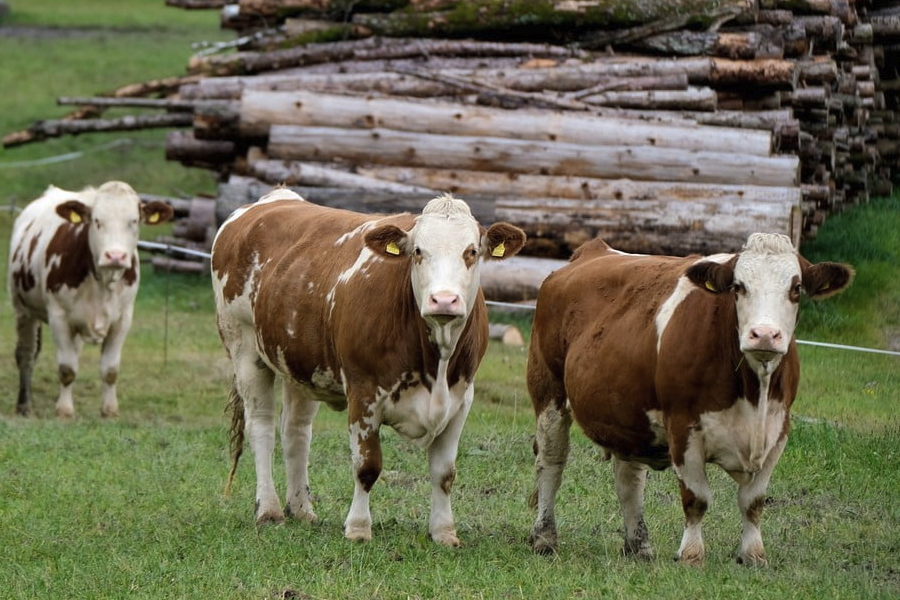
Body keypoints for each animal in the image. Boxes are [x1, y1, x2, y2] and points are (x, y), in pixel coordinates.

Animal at [7, 182, 174, 418]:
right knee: (26, 354)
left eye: (133, 220)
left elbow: (110, 370)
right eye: (96, 220)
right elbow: (67, 368)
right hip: (23, 309)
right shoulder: (58, 316)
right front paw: (65, 411)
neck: (102, 281)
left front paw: (110, 410)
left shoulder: (123, 319)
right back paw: (24, 405)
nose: (115, 256)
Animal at [209, 190, 528, 548]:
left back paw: (301, 508)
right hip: (244, 349)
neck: (437, 362)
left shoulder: (462, 399)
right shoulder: (364, 393)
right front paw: (358, 528)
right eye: (418, 251)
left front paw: (444, 532)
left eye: (471, 251)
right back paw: (269, 509)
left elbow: (445, 473)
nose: (444, 300)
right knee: (261, 428)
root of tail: (276, 196)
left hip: (300, 363)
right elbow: (367, 466)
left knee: (295, 431)